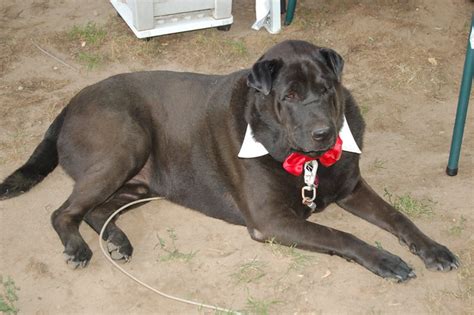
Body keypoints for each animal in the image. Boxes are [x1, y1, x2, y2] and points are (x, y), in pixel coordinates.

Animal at [0, 40, 460, 282]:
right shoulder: (272, 221)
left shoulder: (350, 188)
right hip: (125, 147)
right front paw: (385, 260)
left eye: (327, 88)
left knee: (97, 209)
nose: (324, 134)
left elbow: (399, 217)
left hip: (142, 183)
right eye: (289, 96)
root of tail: (70, 102)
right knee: (63, 211)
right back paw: (79, 247)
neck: (304, 159)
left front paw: (434, 249)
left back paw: (117, 239)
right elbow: (341, 236)